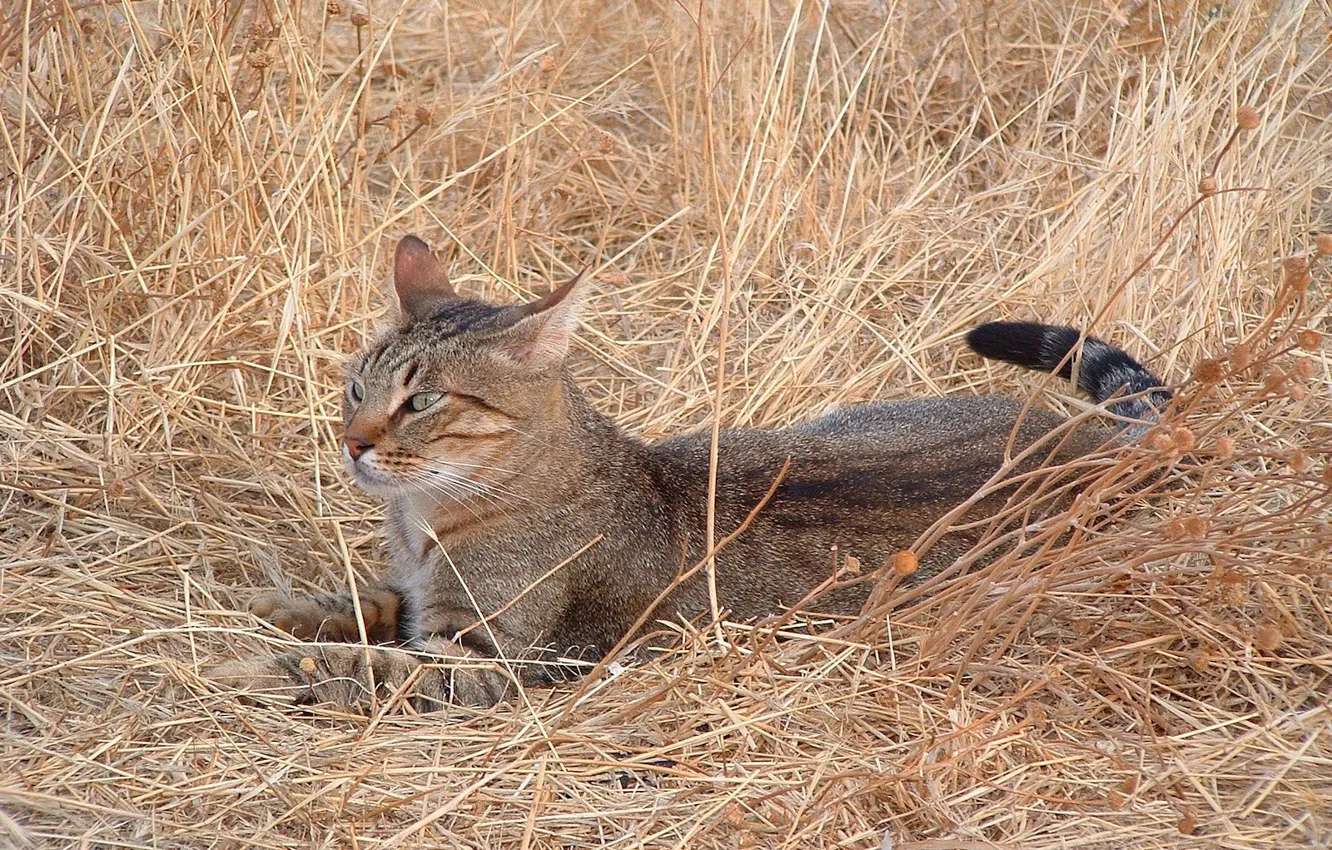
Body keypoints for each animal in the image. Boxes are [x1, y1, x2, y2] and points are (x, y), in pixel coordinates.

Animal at [205, 237, 1166, 708]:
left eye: (424, 401)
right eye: (355, 387)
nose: (352, 442)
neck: (424, 520)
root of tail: (1088, 449)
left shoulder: (489, 654)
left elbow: (371, 666)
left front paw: (255, 666)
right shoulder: (413, 599)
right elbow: (364, 603)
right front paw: (281, 606)